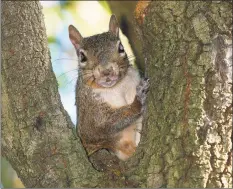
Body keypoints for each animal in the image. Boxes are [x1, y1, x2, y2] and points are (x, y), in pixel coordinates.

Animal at [68, 14, 149, 162]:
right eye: (82, 56)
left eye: (121, 48)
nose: (106, 71)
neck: (117, 87)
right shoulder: (90, 113)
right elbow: (104, 125)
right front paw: (138, 100)